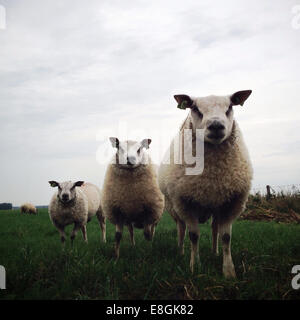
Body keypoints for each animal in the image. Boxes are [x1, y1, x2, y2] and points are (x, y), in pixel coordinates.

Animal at [158, 90, 254, 278]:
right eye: (195, 108)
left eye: (230, 106)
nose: (216, 125)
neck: (212, 176)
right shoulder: (185, 203)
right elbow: (194, 235)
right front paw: (195, 266)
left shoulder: (232, 203)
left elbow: (226, 237)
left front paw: (229, 271)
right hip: (174, 207)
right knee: (181, 229)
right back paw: (181, 252)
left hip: (217, 204)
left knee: (215, 228)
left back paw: (215, 252)